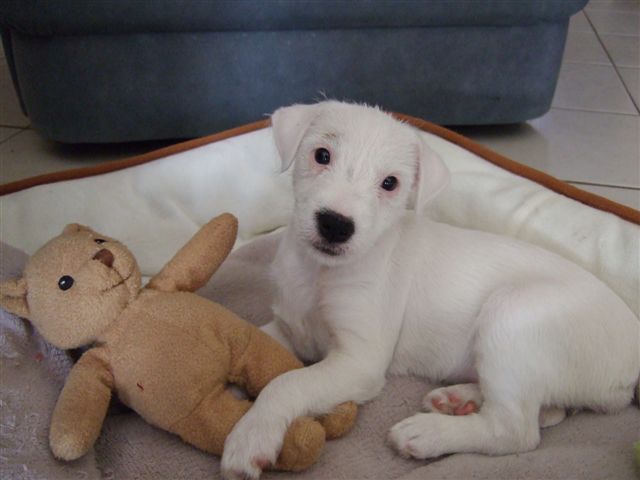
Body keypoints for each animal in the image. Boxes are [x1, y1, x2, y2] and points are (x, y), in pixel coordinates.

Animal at [221, 101, 640, 479]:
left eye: (390, 183)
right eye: (321, 155)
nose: (335, 225)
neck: (320, 273)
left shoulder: (360, 360)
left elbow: (287, 383)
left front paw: (250, 437)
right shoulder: (287, 328)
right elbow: (251, 340)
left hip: (513, 315)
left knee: (516, 431)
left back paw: (429, 433)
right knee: (547, 410)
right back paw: (459, 399)